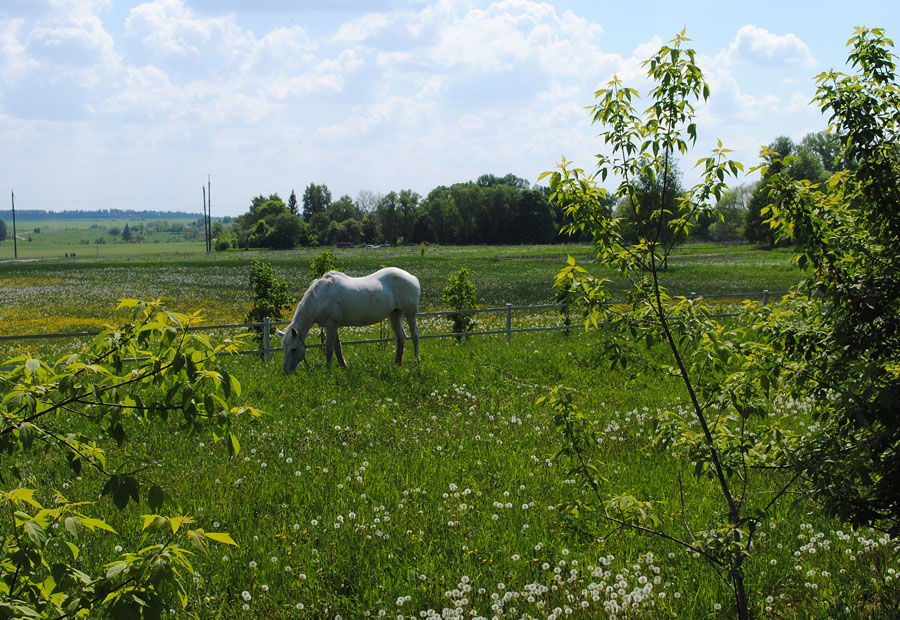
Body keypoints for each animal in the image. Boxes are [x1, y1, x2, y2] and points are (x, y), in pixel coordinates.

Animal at [278, 264, 422, 370]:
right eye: (284, 348)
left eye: (293, 349)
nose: (285, 371)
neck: (321, 297)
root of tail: (412, 277)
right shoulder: (333, 325)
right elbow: (337, 347)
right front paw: (343, 366)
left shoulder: (331, 325)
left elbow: (329, 349)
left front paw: (328, 370)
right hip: (395, 314)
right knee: (401, 338)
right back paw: (397, 363)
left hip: (410, 313)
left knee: (414, 336)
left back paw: (417, 361)